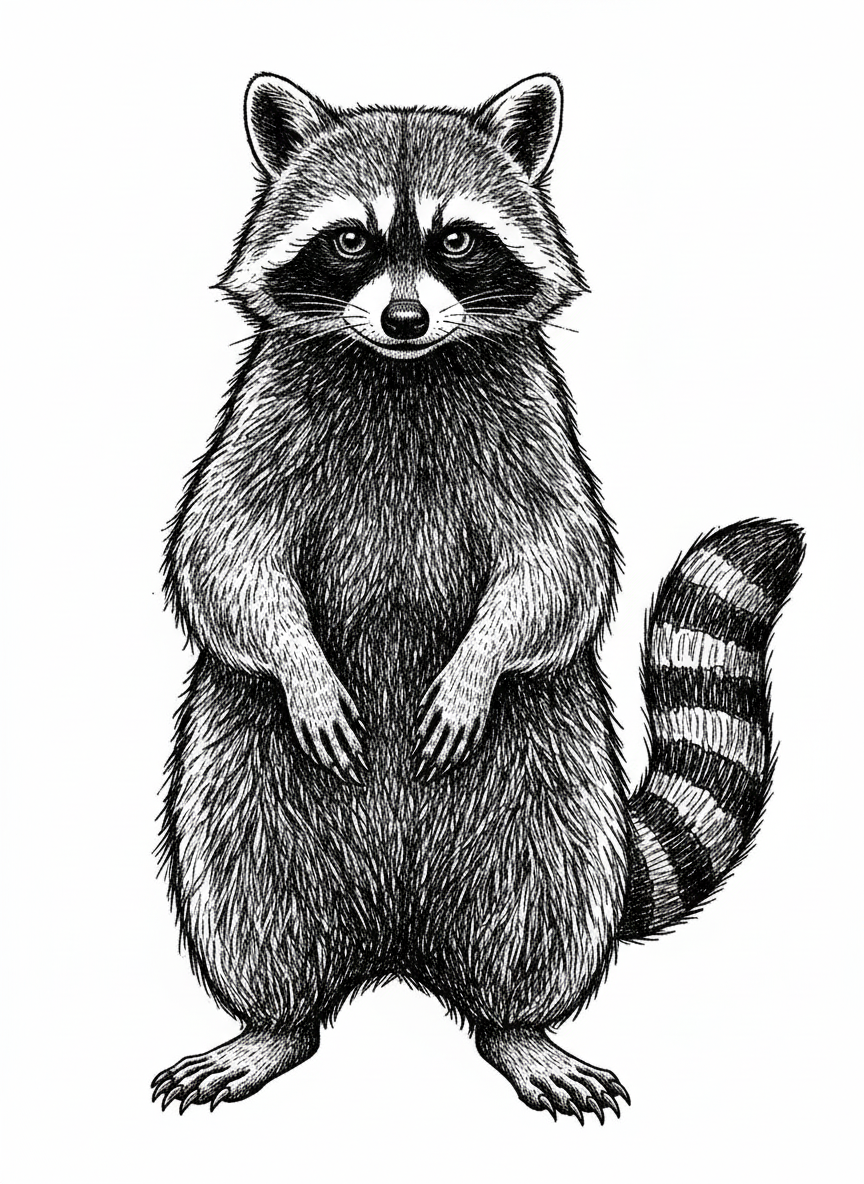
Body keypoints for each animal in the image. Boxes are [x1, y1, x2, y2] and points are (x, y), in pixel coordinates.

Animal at [153, 73, 803, 1121]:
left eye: (456, 239)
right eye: (351, 240)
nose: (406, 320)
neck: (402, 372)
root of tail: (398, 949)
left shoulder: (538, 418)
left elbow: (563, 558)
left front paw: (473, 667)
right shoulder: (257, 413)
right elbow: (220, 550)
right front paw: (302, 667)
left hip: (549, 789)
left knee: (541, 908)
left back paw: (520, 1028)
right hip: (239, 776)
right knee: (252, 900)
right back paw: (272, 1023)